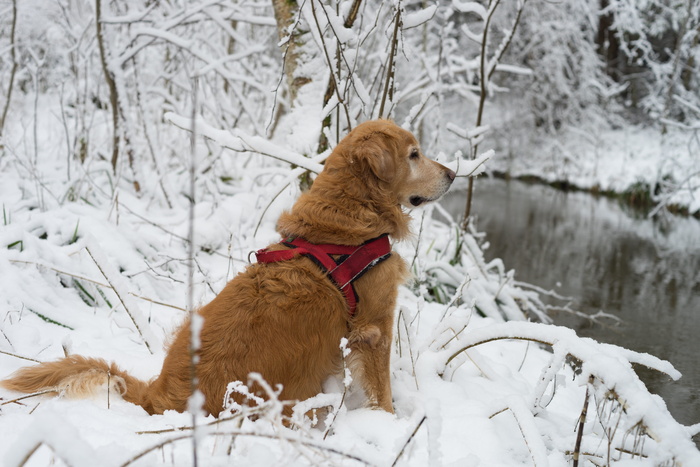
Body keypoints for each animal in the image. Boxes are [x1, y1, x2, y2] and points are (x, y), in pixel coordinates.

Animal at [2, 119, 456, 418]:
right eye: (414, 155)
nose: (453, 173)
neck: (346, 219)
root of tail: (160, 395)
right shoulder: (375, 328)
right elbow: (383, 391)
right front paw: (392, 423)